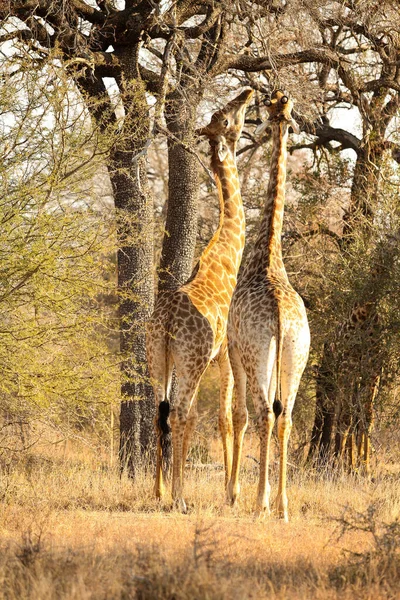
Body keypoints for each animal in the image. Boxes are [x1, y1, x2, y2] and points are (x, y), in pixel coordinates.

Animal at [146, 89, 253, 510]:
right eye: (225, 118)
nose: (248, 92)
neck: (227, 252)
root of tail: (166, 323)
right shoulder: (225, 353)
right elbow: (226, 416)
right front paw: (230, 492)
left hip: (159, 357)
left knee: (159, 411)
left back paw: (159, 491)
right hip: (189, 361)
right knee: (178, 413)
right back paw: (179, 499)